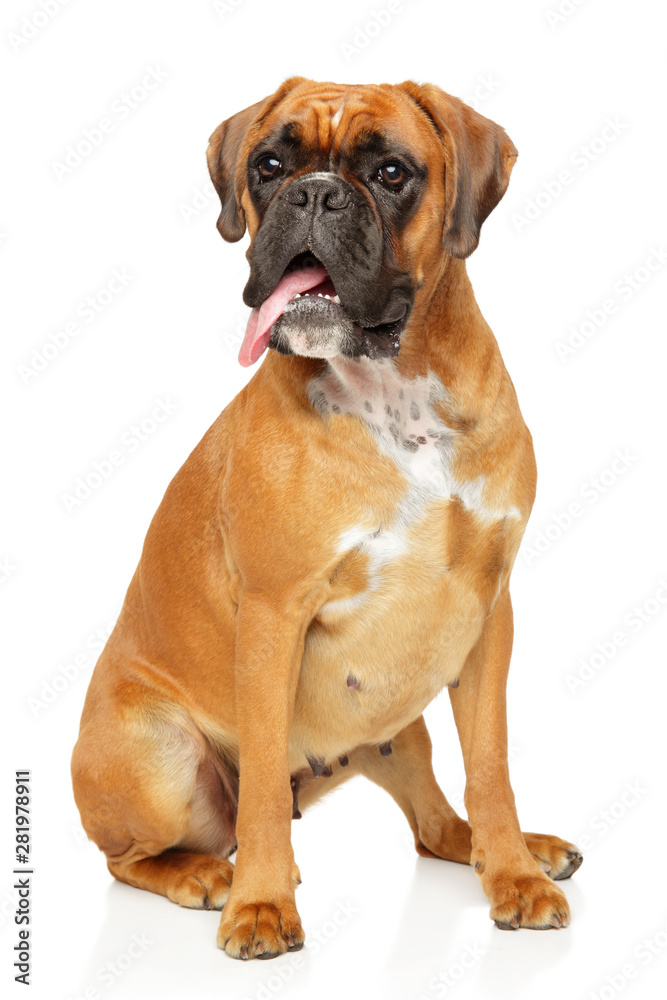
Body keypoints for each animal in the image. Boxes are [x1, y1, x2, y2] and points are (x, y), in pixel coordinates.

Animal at [72, 78, 584, 960]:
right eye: (269, 165)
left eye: (389, 172)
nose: (313, 194)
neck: (394, 392)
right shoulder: (274, 615)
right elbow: (261, 793)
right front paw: (261, 904)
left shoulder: (488, 613)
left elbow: (489, 765)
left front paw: (514, 876)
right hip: (156, 754)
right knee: (136, 856)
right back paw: (207, 876)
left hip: (402, 720)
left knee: (436, 826)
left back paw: (516, 849)